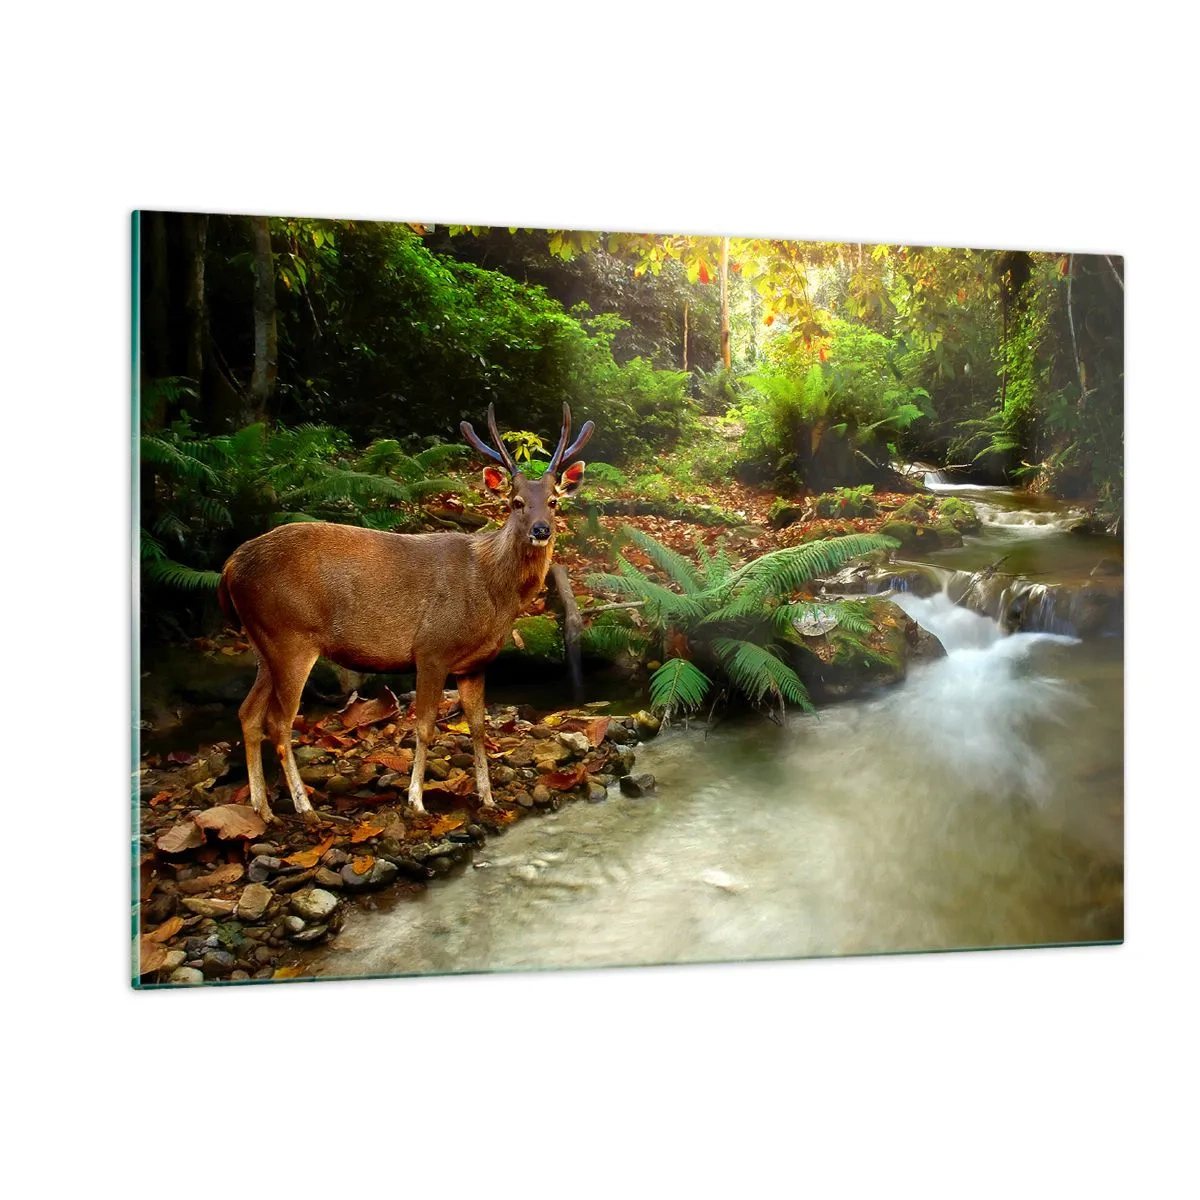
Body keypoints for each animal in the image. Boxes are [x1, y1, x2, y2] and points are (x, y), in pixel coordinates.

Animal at [217, 403, 594, 823]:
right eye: (516, 503)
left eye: (554, 501)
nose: (541, 529)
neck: (492, 593)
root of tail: (229, 567)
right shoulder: (431, 648)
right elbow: (425, 726)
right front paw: (416, 800)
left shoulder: (474, 663)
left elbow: (478, 726)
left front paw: (487, 797)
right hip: (290, 636)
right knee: (279, 723)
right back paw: (304, 806)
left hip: (264, 642)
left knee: (248, 714)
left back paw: (262, 808)